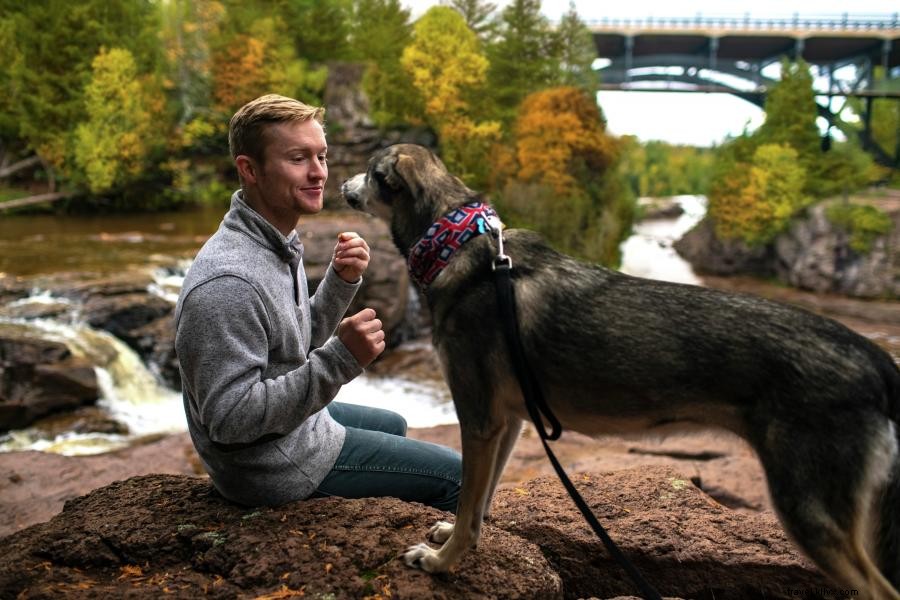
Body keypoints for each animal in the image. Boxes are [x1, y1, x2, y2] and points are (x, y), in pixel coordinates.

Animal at [342, 143, 896, 596]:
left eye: (369, 172)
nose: (343, 187)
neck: (455, 246)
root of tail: (876, 360)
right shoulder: (510, 421)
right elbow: (479, 501)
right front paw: (452, 536)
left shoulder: (478, 416)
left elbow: (469, 504)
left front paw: (441, 561)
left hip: (808, 510)